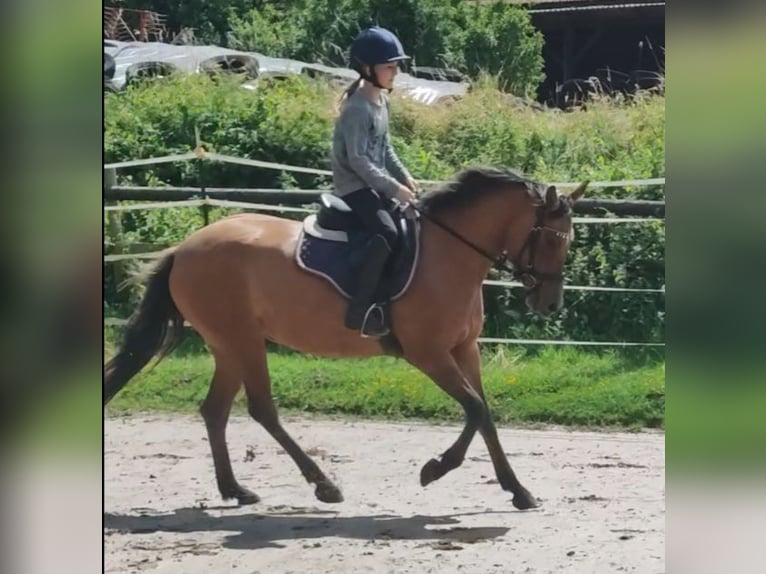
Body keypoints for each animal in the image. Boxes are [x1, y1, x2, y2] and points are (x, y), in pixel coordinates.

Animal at [105, 168, 592, 512]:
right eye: (553, 240)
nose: (550, 303)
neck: (449, 254)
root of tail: (184, 248)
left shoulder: (463, 348)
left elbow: (485, 414)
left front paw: (518, 490)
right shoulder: (429, 353)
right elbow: (473, 408)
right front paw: (434, 470)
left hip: (228, 345)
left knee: (215, 411)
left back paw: (237, 490)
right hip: (241, 341)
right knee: (261, 410)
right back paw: (324, 485)